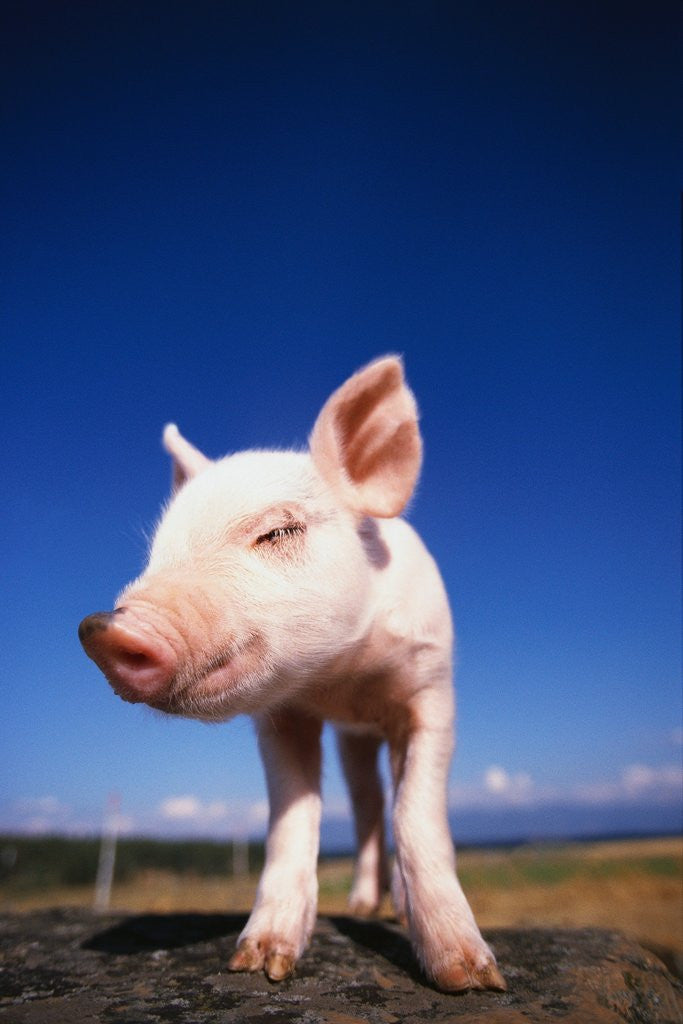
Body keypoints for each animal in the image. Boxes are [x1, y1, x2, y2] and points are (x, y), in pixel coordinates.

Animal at [78, 356, 506, 993]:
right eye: (157, 552)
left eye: (278, 531)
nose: (104, 629)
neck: (341, 677)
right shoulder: (281, 718)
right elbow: (292, 821)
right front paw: (259, 964)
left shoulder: (432, 691)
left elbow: (419, 813)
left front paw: (470, 977)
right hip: (354, 744)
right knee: (366, 801)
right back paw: (360, 907)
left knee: (386, 802)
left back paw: (391, 913)